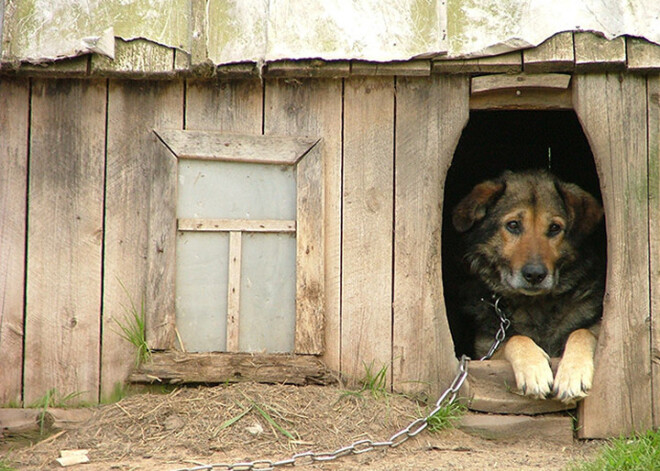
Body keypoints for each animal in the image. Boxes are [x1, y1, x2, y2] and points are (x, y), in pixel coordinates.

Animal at [454, 171, 604, 404]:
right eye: (513, 225)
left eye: (554, 228)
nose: (535, 275)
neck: (536, 304)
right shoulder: (487, 351)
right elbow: (516, 338)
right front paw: (534, 370)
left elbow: (582, 332)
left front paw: (573, 374)